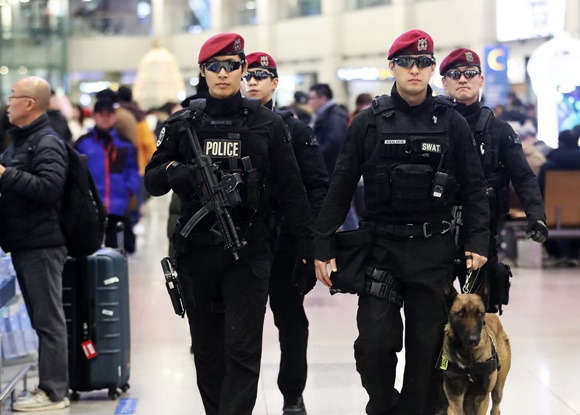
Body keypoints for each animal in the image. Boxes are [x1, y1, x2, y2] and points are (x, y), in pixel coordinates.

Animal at [442, 282, 510, 414]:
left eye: (479, 314)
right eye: (461, 314)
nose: (473, 340)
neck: (467, 354)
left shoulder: (482, 398)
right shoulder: (455, 400)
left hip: (497, 389)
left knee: (496, 408)